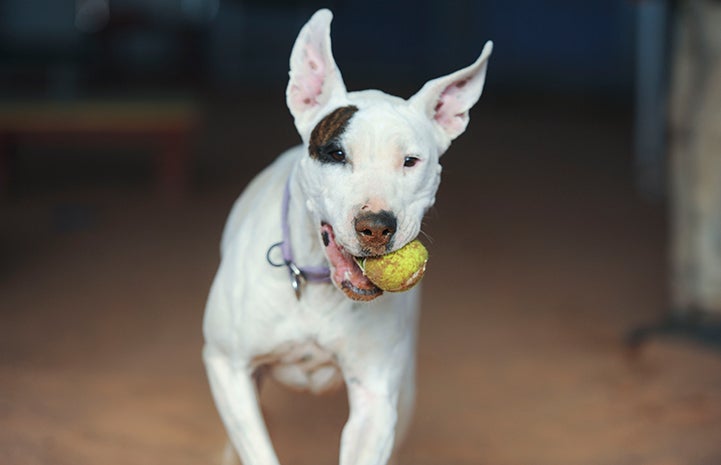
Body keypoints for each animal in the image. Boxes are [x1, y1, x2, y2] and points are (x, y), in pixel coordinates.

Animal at [204, 10, 490, 464]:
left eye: (410, 161)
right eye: (337, 154)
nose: (376, 225)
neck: (318, 287)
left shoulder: (375, 401)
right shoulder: (226, 366)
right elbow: (257, 449)